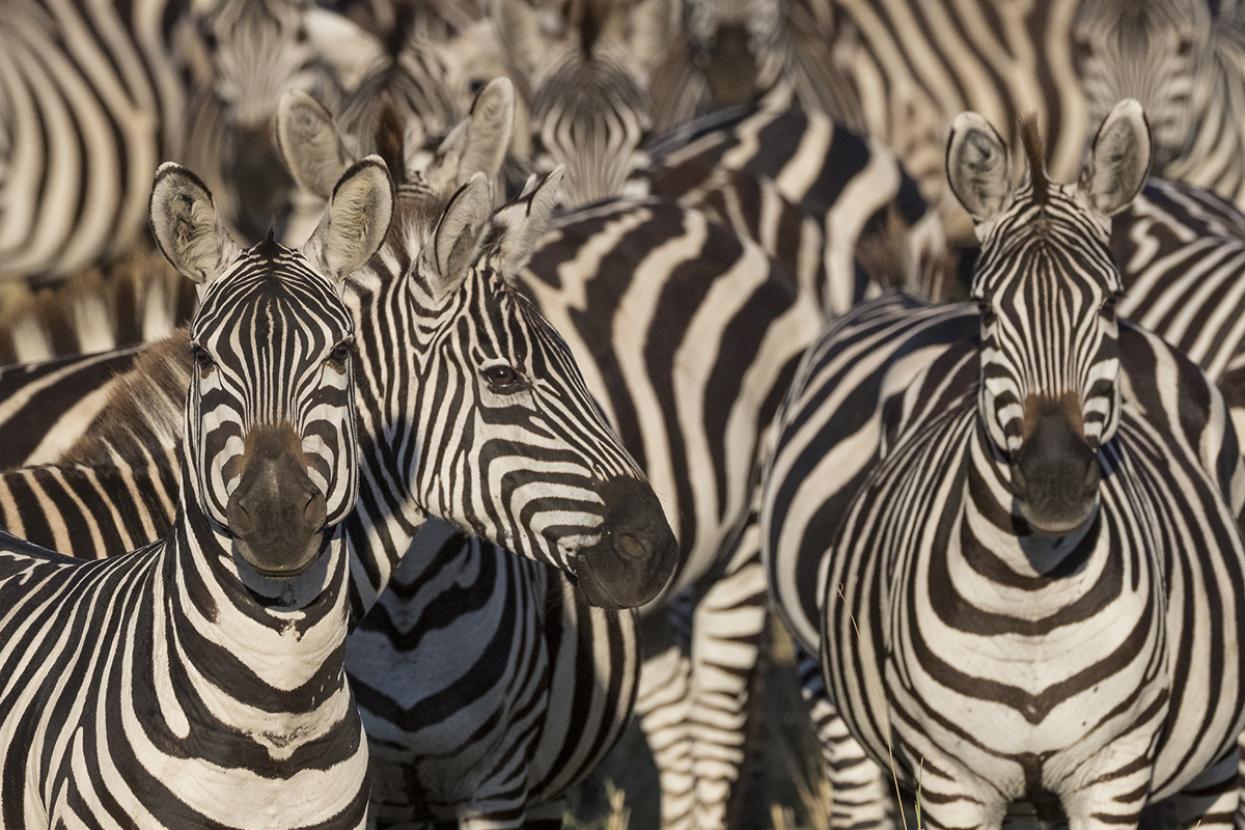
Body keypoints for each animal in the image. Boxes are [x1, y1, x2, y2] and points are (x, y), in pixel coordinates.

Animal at [763, 100, 1245, 826]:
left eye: (1109, 301)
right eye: (985, 307)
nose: (1054, 485)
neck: (1030, 603)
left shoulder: (1113, 772)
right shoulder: (951, 780)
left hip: (1214, 756)